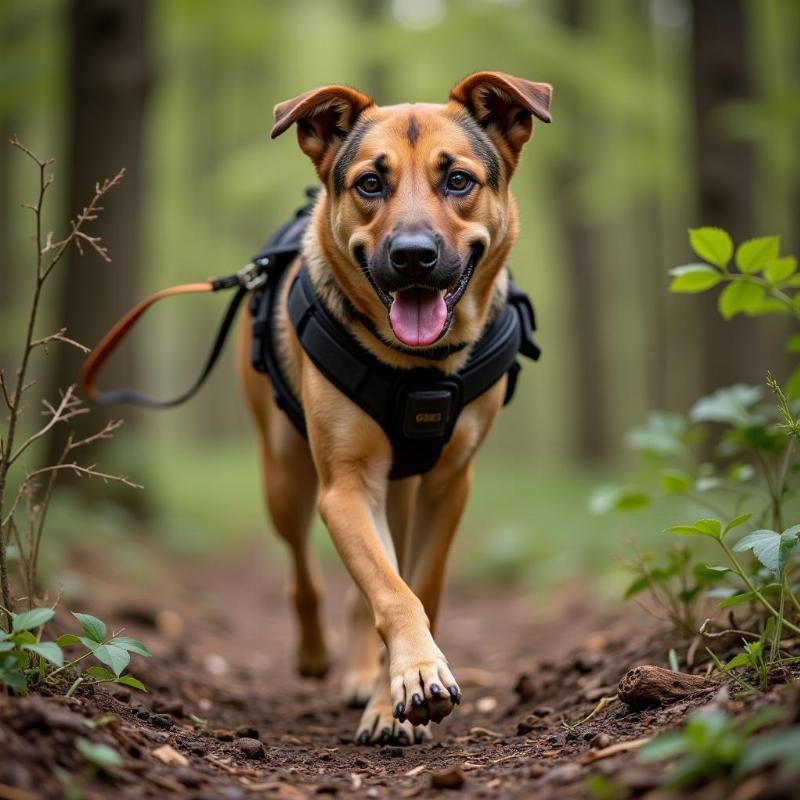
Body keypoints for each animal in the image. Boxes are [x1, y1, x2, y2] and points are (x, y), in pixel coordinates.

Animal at [234, 70, 552, 744]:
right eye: (370, 183)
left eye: (457, 180)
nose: (412, 255)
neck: (419, 371)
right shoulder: (346, 487)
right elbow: (391, 590)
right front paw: (415, 676)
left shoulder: (449, 483)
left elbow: (418, 587)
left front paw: (392, 694)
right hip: (285, 473)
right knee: (303, 569)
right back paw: (315, 653)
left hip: (399, 490)